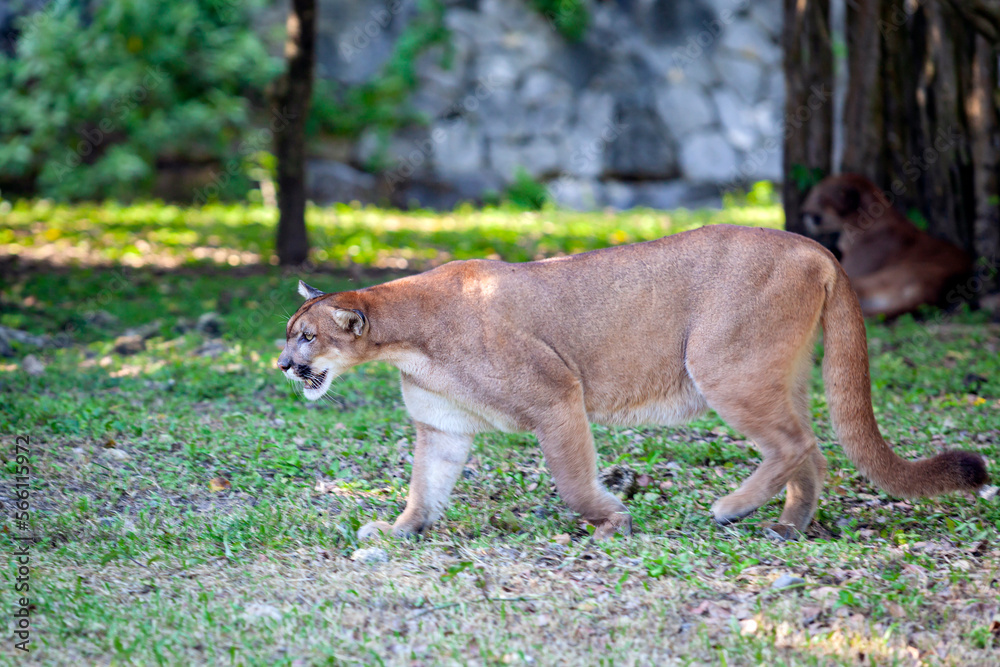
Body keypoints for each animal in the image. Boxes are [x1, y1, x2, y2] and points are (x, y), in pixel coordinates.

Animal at [278, 225, 987, 542]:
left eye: (305, 336)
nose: (282, 364)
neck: (407, 341)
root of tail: (816, 247)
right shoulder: (442, 425)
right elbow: (426, 485)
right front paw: (400, 529)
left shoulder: (555, 394)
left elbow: (570, 476)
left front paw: (609, 517)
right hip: (775, 376)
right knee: (809, 448)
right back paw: (789, 523)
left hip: (722, 366)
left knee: (794, 445)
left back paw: (733, 508)